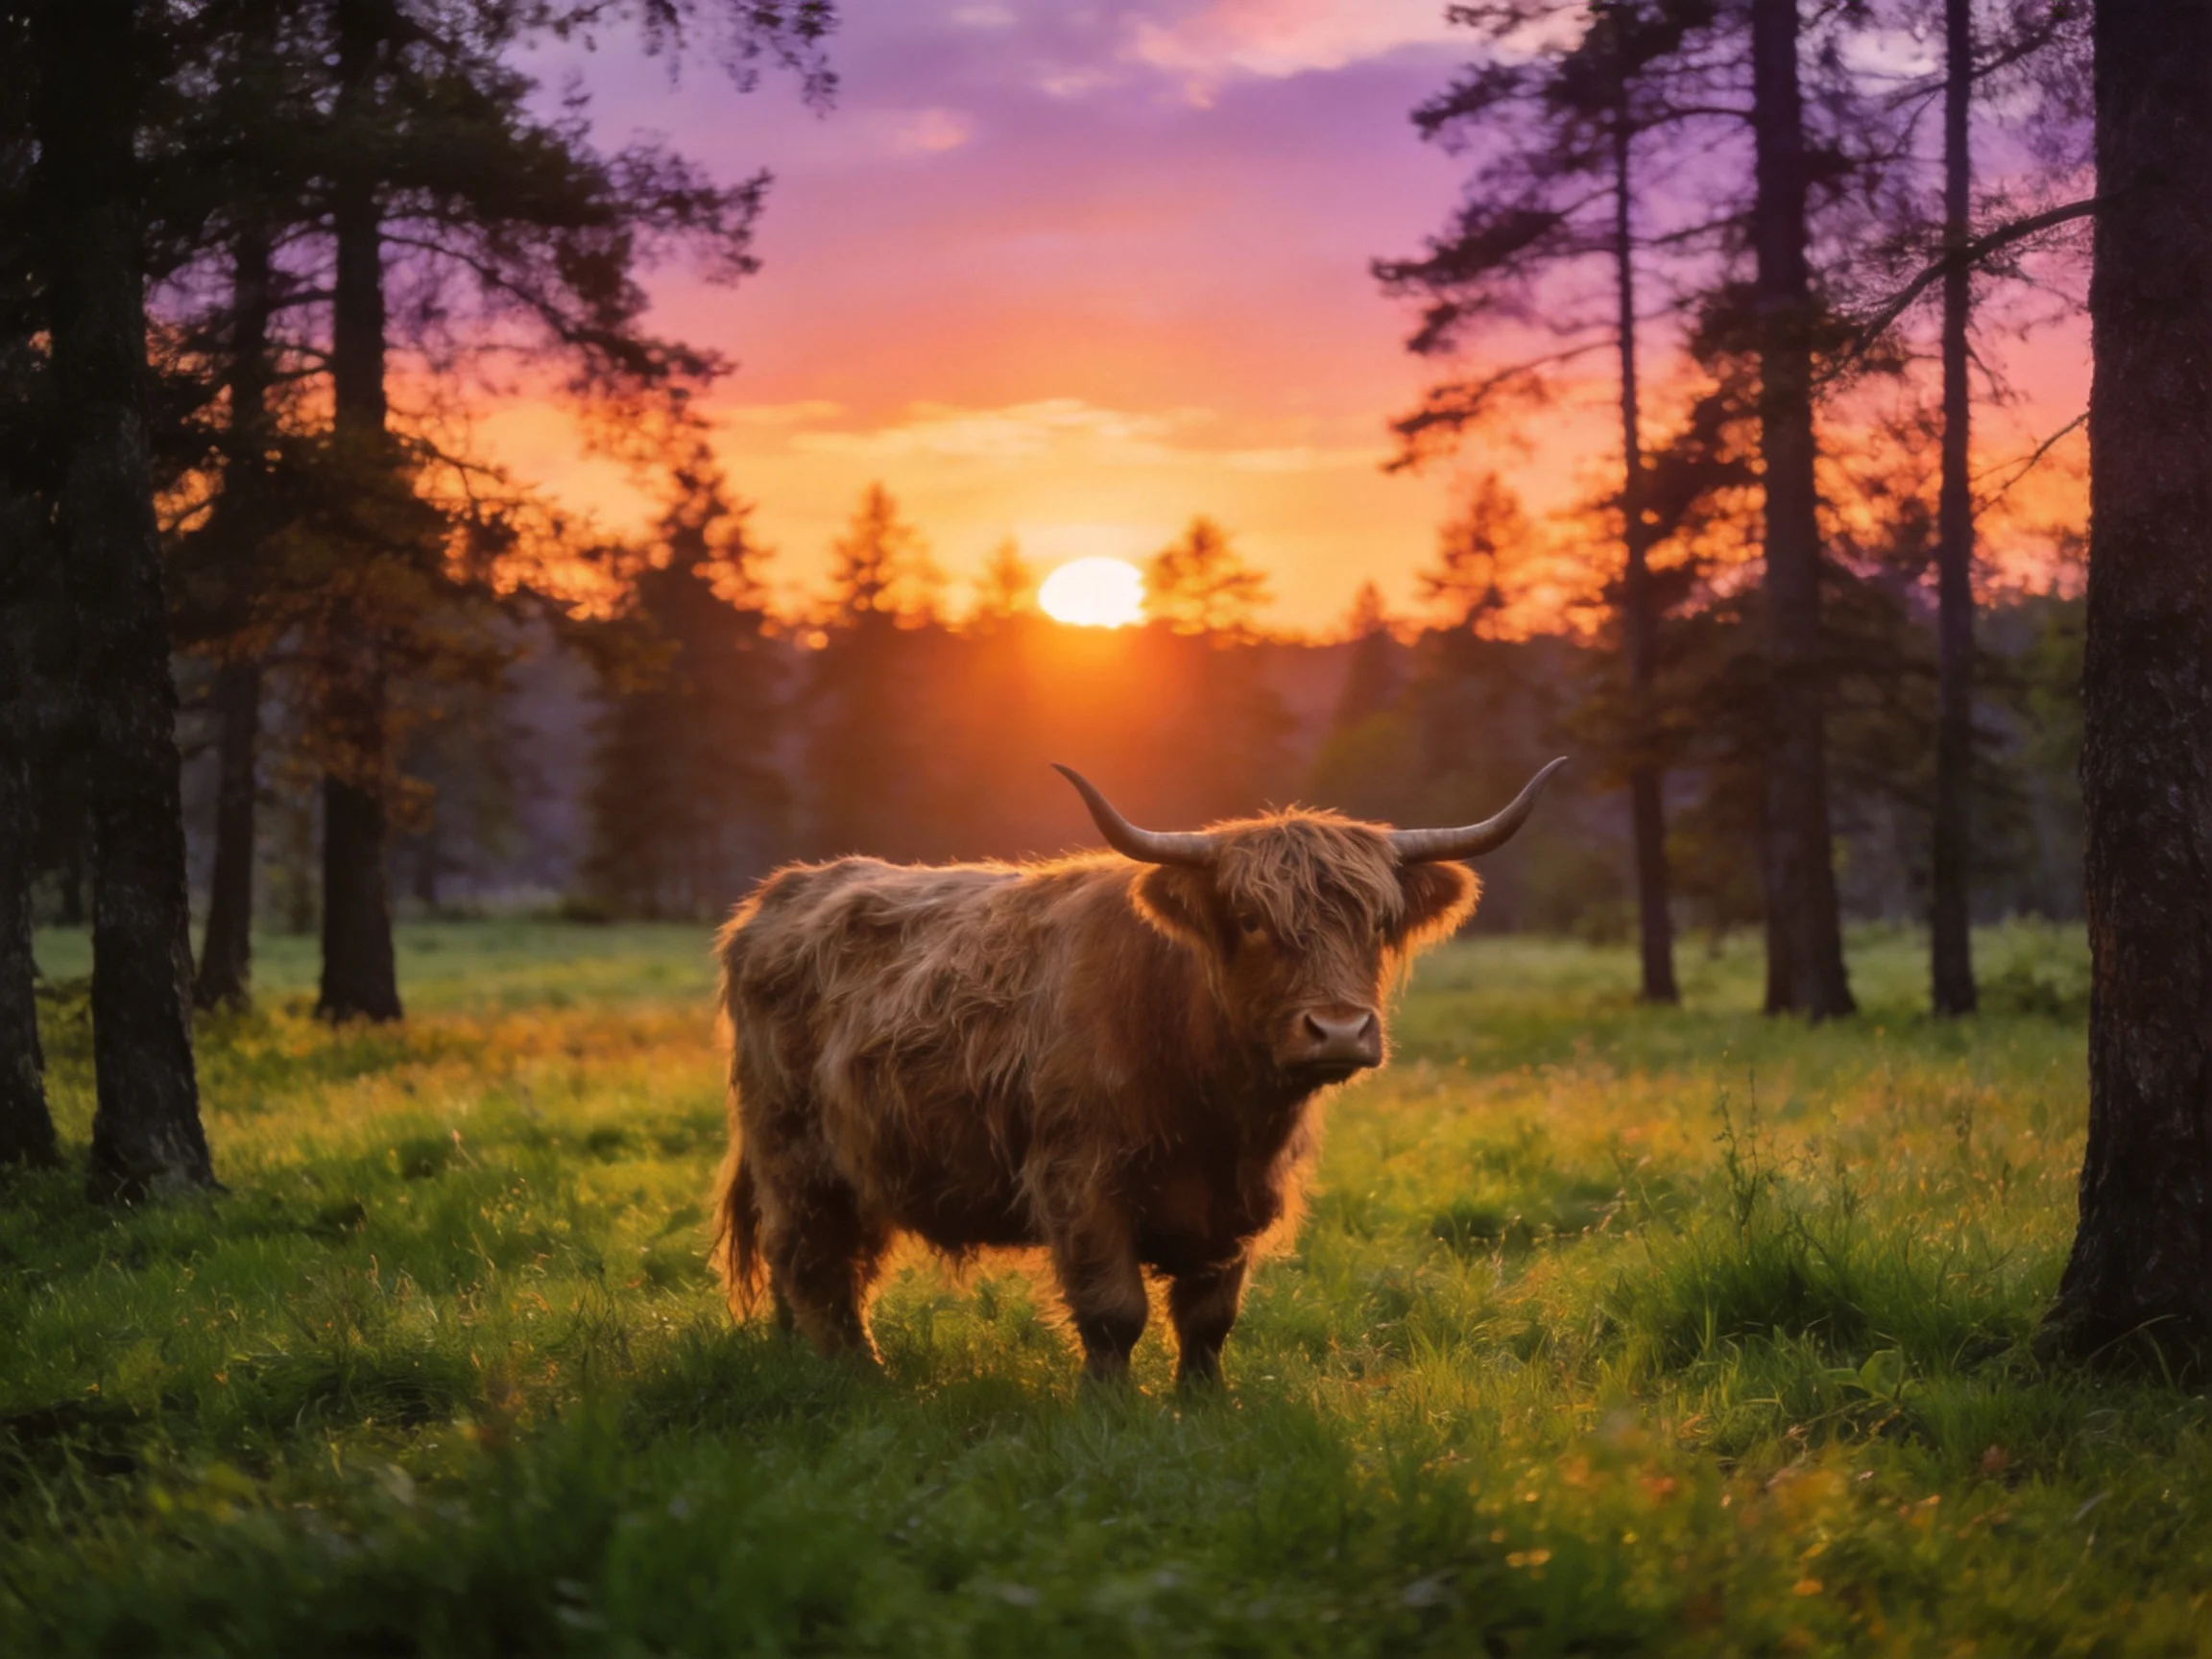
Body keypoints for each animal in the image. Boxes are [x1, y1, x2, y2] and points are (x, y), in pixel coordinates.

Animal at [710, 758, 1566, 1385]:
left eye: (1379, 923)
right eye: (1250, 920)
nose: (1338, 1031)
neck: (1218, 1108)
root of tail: (783, 892)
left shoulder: (1239, 1201)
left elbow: (1209, 1317)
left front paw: (1204, 1405)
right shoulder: (1079, 1182)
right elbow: (1113, 1311)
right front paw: (1108, 1407)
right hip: (793, 1152)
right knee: (812, 1259)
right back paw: (858, 1376)